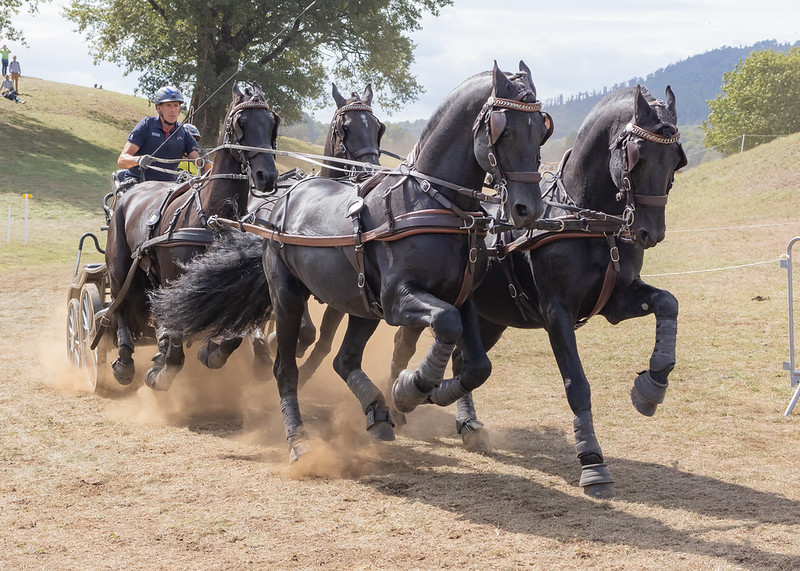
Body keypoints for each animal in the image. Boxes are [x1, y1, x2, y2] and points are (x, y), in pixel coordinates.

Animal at [102, 81, 280, 390]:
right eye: (241, 123)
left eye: (271, 124)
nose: (266, 176)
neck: (212, 217)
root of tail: (130, 192)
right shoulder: (175, 279)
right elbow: (175, 345)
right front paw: (161, 372)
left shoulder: (230, 283)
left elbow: (234, 332)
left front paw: (211, 351)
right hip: (120, 266)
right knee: (120, 306)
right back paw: (125, 361)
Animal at [151, 62, 553, 462]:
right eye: (504, 129)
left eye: (540, 131)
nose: (527, 209)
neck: (435, 204)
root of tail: (279, 203)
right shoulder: (398, 299)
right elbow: (445, 322)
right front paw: (411, 387)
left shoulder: (461, 297)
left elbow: (478, 365)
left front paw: (422, 393)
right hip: (288, 296)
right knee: (285, 368)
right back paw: (298, 439)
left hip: (361, 305)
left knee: (343, 359)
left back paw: (377, 412)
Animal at [389, 85, 688, 498]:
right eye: (637, 155)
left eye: (675, 158)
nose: (650, 232)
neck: (588, 222)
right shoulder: (556, 312)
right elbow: (576, 384)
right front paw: (593, 462)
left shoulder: (616, 301)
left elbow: (667, 302)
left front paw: (652, 385)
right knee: (405, 345)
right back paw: (399, 404)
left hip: (491, 319)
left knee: (465, 361)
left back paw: (465, 422)